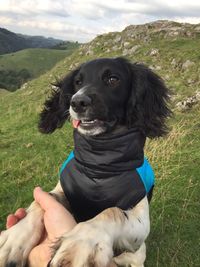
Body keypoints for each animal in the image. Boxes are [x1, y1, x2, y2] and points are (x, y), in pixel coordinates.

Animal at [0, 57, 172, 266]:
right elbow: (42, 200)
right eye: (78, 82)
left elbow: (112, 211)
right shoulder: (65, 190)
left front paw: (81, 244)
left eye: (113, 79)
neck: (98, 164)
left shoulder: (141, 217)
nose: (77, 102)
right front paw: (13, 238)